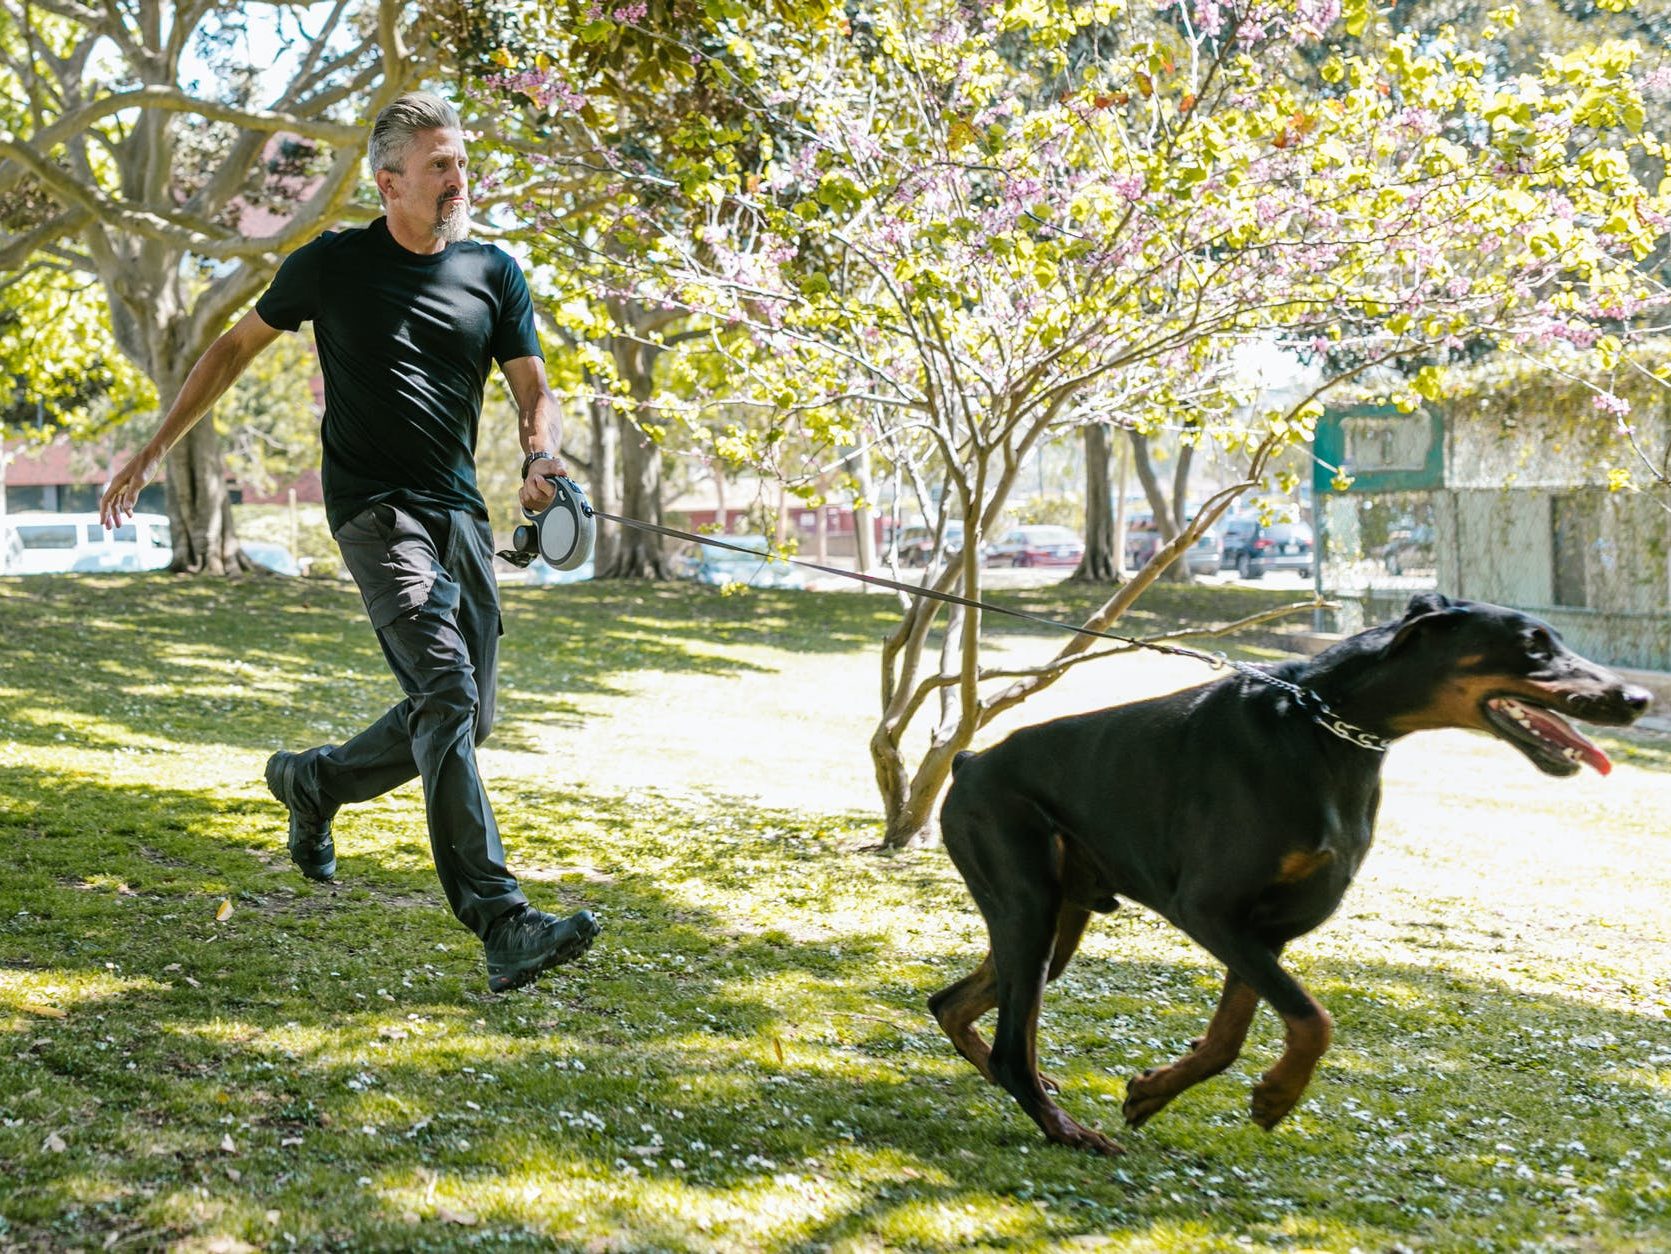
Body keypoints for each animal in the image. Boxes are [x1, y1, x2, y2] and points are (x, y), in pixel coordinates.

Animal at [935, 598, 1650, 1157]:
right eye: (1532, 645)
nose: (1637, 697)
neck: (1327, 727)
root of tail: (968, 762)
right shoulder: (1211, 910)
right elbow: (1314, 1021)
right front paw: (1278, 1096)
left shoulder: (1265, 931)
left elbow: (1231, 1037)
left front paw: (1153, 1092)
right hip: (1028, 901)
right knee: (1010, 1047)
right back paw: (1065, 1129)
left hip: (1057, 921)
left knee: (952, 1004)